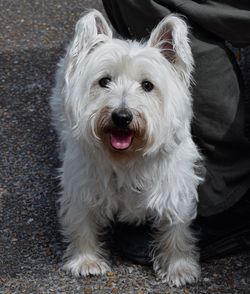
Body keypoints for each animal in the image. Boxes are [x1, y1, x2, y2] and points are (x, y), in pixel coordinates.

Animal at [50, 9, 203, 288]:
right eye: (104, 81)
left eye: (147, 85)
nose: (122, 116)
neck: (127, 158)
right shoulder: (82, 183)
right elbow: (81, 221)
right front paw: (86, 260)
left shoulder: (174, 185)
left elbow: (176, 227)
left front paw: (179, 267)